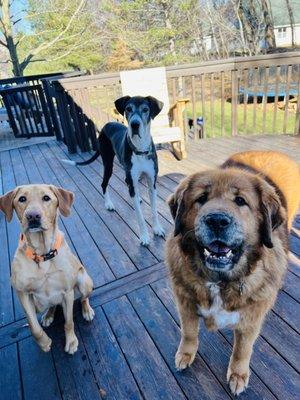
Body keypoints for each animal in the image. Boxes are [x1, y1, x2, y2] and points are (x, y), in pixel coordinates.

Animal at [0, 184, 94, 354]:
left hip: (84, 282)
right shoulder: (22, 294)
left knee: (84, 298)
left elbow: (69, 322)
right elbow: (34, 327)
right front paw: (44, 343)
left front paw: (71, 341)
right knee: (52, 305)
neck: (42, 254)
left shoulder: (67, 292)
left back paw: (87, 310)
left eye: (46, 198)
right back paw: (48, 315)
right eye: (22, 199)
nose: (33, 216)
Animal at [62, 96, 165, 247]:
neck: (140, 149)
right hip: (108, 165)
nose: (134, 125)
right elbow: (140, 217)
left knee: (127, 183)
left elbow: (154, 210)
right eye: (128, 109)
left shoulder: (152, 182)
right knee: (104, 184)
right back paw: (109, 204)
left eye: (146, 110)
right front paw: (144, 236)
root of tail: (106, 125)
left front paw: (157, 228)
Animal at [166, 151, 300, 396]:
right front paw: (186, 354)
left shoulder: (251, 319)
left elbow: (242, 350)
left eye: (240, 201)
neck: (219, 281)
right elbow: (189, 333)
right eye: (201, 198)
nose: (217, 220)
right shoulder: (185, 303)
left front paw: (238, 374)